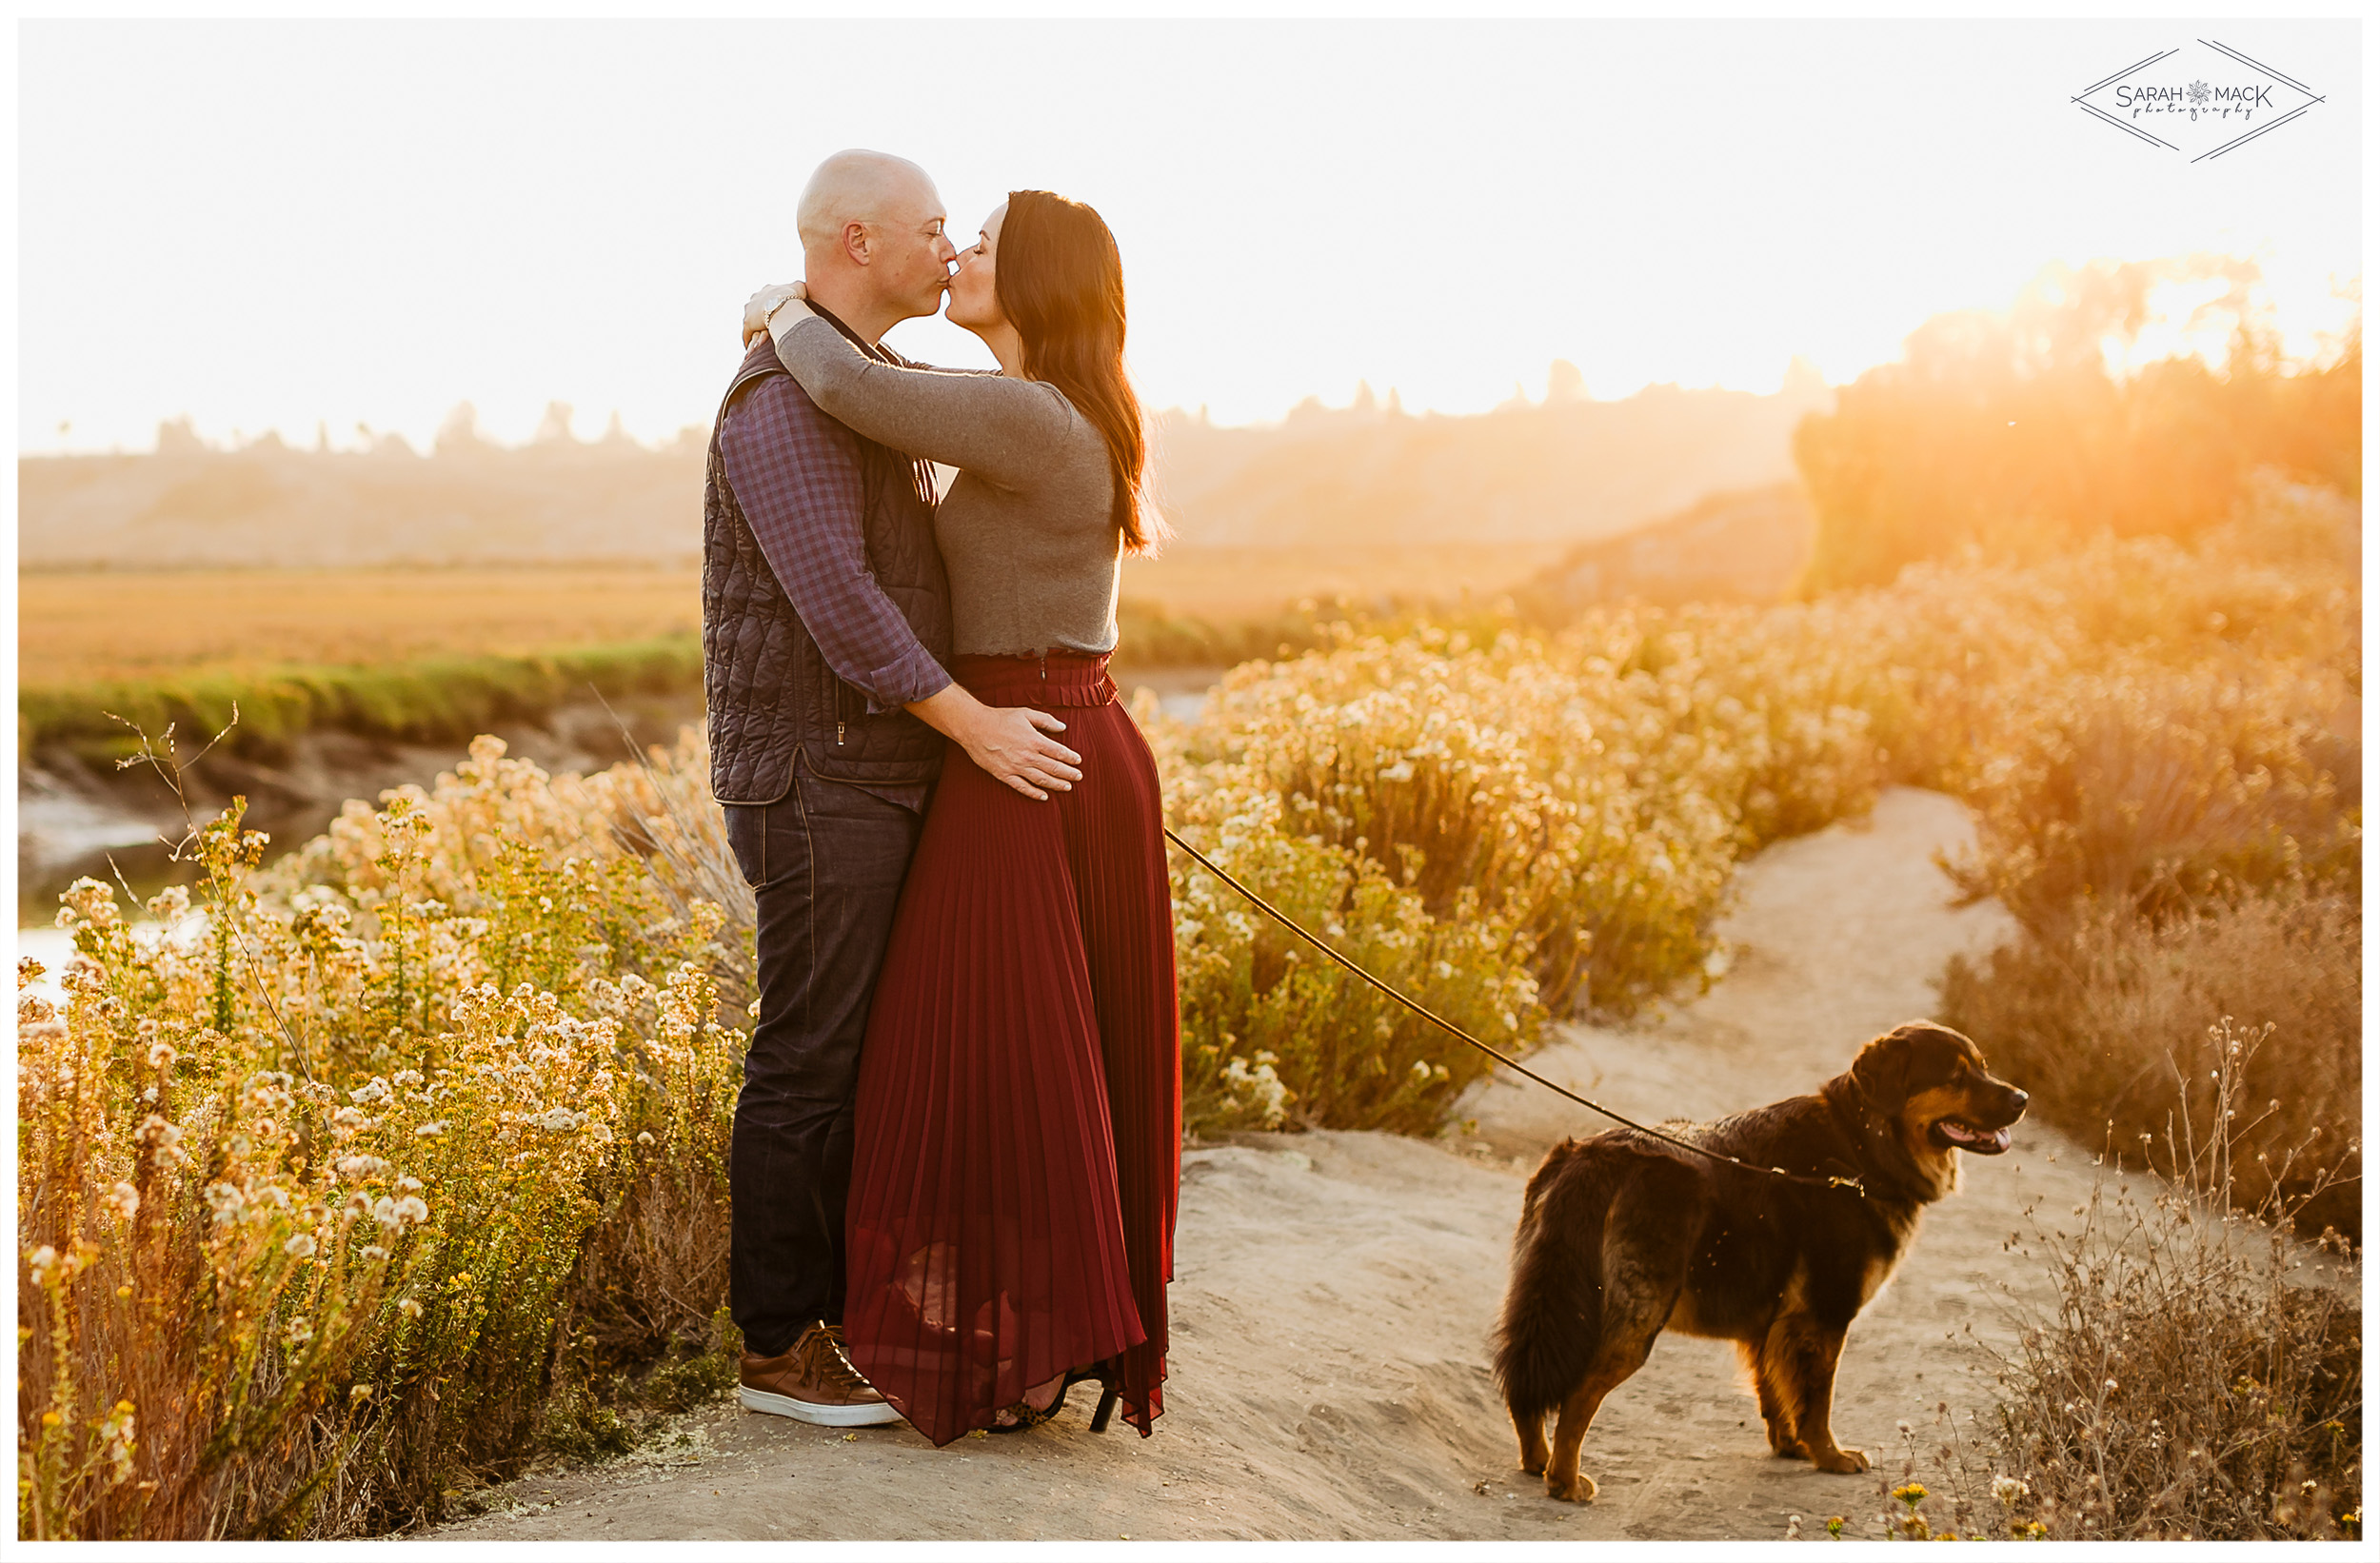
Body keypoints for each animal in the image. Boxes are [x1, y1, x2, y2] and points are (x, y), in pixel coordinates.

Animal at [1495, 1022, 2018, 1503]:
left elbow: (1776, 1391)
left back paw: (1537, 1461)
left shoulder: (1773, 1322)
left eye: (1983, 1067)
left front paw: (1791, 1446)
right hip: (1634, 1319)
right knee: (1578, 1393)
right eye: (1955, 1076)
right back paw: (1564, 1480)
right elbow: (1817, 1400)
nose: (2023, 1098)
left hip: (1547, 1298)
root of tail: (1596, 1157)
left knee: (1526, 1387)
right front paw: (1830, 1455)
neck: (1859, 1149)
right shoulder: (1825, 1316)